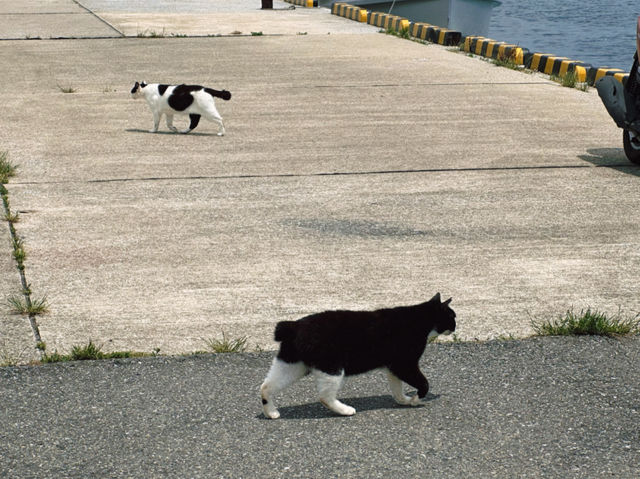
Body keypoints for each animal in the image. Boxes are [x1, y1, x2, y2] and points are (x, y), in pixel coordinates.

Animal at [260, 292, 456, 420]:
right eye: (452, 316)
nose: (456, 326)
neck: (420, 319)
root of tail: (293, 326)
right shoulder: (405, 364)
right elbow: (424, 383)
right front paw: (416, 399)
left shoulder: (394, 366)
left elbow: (396, 388)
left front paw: (404, 401)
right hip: (332, 367)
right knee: (325, 396)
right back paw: (344, 410)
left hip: (291, 365)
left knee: (266, 386)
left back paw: (271, 412)